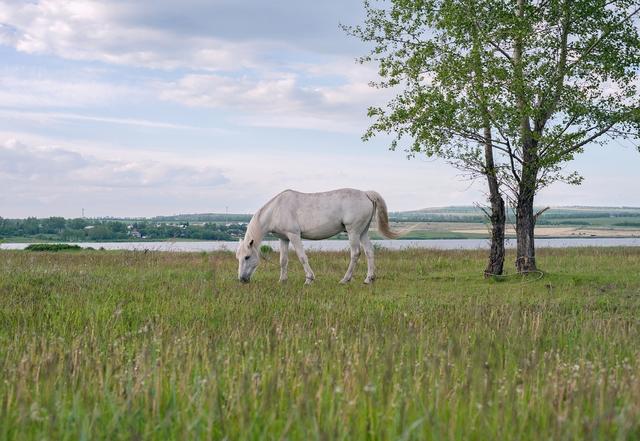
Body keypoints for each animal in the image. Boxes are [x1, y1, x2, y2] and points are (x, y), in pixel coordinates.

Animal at [235, 189, 400, 286]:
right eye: (239, 258)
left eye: (247, 257)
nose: (242, 279)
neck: (276, 209)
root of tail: (366, 193)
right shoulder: (284, 238)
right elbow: (283, 260)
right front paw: (282, 280)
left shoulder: (294, 235)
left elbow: (302, 257)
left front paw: (309, 279)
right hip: (363, 232)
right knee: (369, 251)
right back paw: (369, 279)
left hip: (353, 232)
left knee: (355, 253)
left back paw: (345, 279)